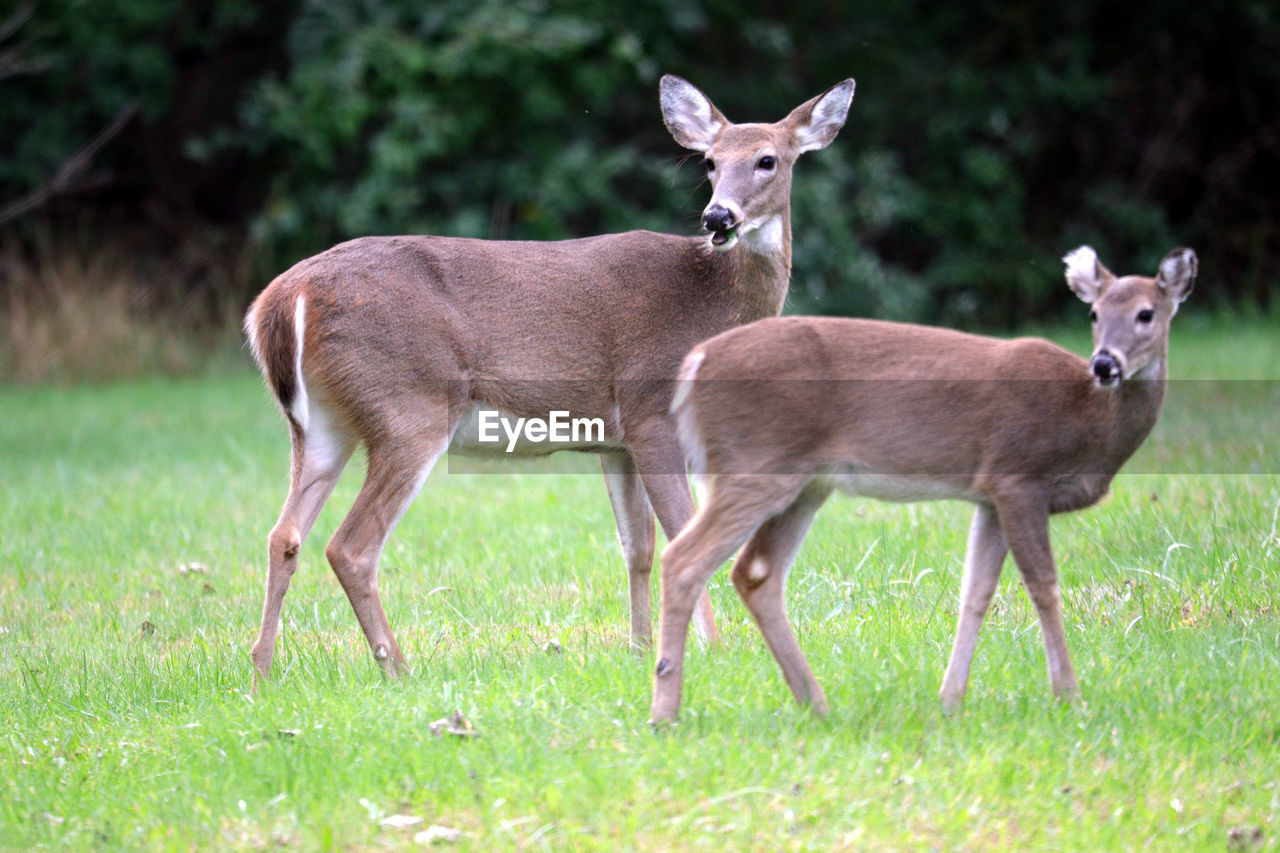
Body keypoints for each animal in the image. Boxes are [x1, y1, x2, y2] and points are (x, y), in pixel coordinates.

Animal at [244, 74, 855, 686]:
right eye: (708, 161)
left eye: (767, 159)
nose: (717, 218)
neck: (713, 303)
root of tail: (281, 300)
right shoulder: (652, 408)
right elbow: (682, 534)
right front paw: (709, 648)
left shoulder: (616, 440)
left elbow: (637, 545)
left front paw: (639, 649)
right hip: (409, 407)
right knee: (351, 546)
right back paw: (398, 669)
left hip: (323, 423)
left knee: (284, 534)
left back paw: (262, 671)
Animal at [650, 244, 1198, 717]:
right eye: (1094, 314)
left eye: (1146, 314)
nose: (1105, 364)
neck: (1091, 425)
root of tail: (694, 365)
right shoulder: (1019, 476)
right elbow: (1043, 586)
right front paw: (1070, 696)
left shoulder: (990, 496)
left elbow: (976, 592)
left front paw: (950, 700)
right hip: (756, 465)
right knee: (683, 558)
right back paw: (666, 711)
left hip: (807, 483)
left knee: (756, 573)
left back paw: (815, 702)